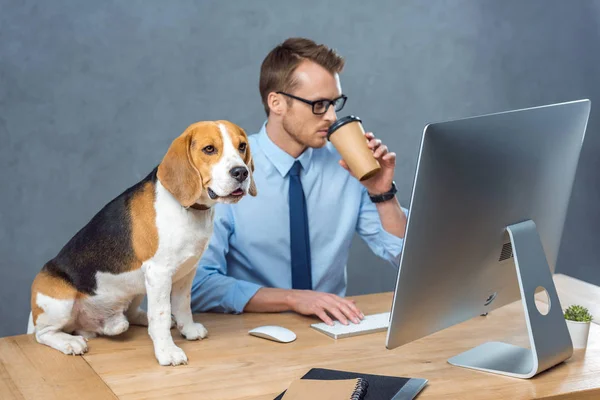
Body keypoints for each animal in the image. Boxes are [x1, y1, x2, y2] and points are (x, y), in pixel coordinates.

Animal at [26, 119, 255, 366]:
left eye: (242, 146)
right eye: (209, 149)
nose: (241, 172)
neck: (188, 209)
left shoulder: (187, 272)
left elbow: (182, 304)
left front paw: (188, 329)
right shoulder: (159, 273)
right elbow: (160, 315)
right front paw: (167, 352)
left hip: (136, 288)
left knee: (130, 314)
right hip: (60, 303)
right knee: (43, 334)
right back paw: (69, 342)